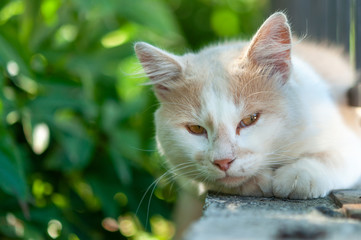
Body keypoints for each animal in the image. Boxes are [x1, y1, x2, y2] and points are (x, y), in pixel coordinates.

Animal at [134, 11, 360, 234]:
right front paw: (260, 181)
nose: (223, 161)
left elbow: (332, 156)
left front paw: (300, 175)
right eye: (196, 129)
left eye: (250, 120)